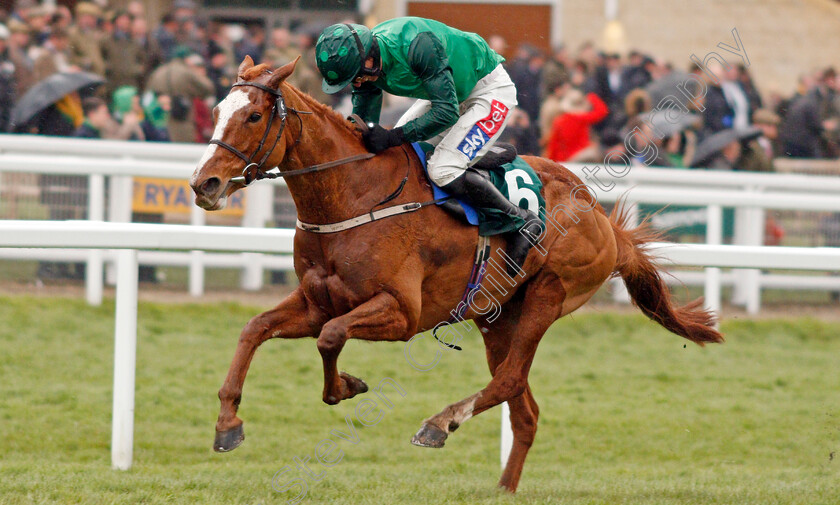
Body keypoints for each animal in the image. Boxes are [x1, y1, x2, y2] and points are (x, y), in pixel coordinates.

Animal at [189, 56, 720, 492]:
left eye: (254, 116)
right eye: (216, 110)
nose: (203, 183)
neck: (355, 194)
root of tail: (603, 218)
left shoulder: (402, 313)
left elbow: (331, 337)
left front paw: (347, 387)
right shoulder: (318, 300)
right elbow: (254, 328)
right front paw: (227, 423)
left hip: (549, 294)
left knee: (509, 382)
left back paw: (439, 423)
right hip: (497, 317)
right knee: (524, 410)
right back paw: (503, 489)